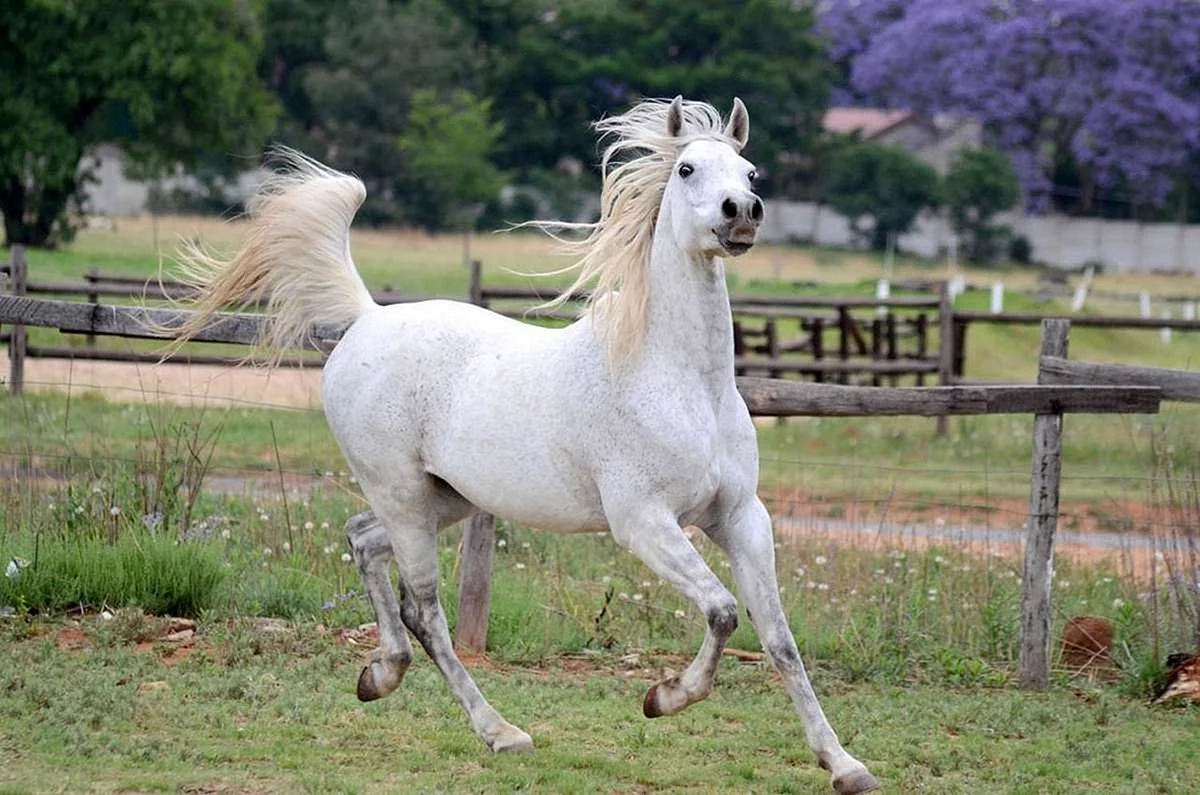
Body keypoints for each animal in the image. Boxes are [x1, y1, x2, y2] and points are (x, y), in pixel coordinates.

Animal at [171, 96, 883, 792]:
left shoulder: (741, 518)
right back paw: (499, 731)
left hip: (442, 499)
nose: (742, 214)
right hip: (402, 496)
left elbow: (779, 638)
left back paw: (380, 675)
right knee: (425, 610)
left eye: (752, 173)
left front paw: (844, 764)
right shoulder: (644, 522)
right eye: (686, 170)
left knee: (363, 542)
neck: (680, 381)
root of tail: (368, 319)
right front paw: (663, 697)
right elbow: (723, 611)